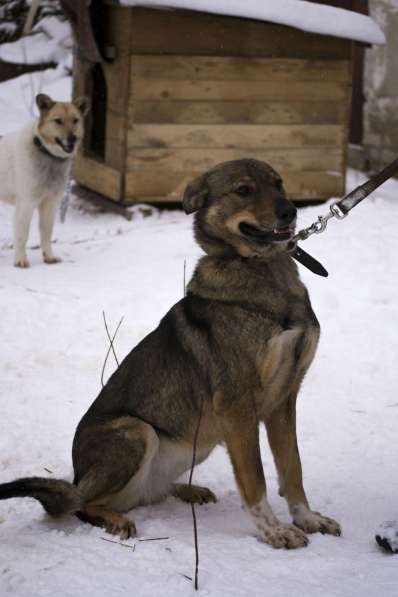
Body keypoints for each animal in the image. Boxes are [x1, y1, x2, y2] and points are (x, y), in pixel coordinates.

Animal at [0, 93, 89, 268]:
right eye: (58, 120)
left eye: (75, 120)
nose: (72, 139)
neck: (48, 155)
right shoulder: (26, 203)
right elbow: (22, 235)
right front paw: (20, 260)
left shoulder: (50, 204)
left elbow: (47, 233)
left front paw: (49, 257)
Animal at [0, 159, 340, 548]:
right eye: (243, 190)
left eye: (279, 184)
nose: (290, 211)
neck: (263, 270)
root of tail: (76, 478)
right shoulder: (238, 408)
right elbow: (255, 480)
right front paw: (274, 531)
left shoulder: (284, 400)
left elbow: (292, 468)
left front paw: (307, 518)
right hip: (136, 431)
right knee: (83, 505)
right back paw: (115, 519)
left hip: (195, 443)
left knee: (145, 494)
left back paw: (186, 490)